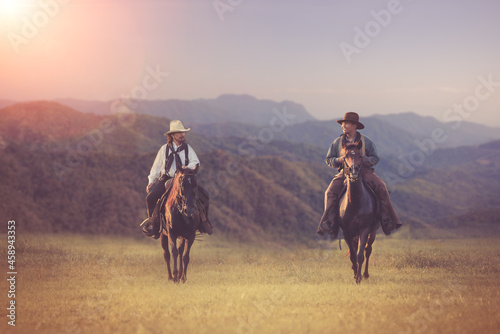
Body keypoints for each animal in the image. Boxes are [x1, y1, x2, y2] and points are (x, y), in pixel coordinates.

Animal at [340, 142, 378, 284]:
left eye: (360, 156)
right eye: (345, 156)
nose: (354, 171)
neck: (355, 203)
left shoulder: (365, 229)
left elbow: (360, 255)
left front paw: (359, 277)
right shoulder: (346, 232)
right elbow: (352, 255)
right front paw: (355, 273)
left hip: (373, 230)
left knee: (368, 250)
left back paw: (365, 274)